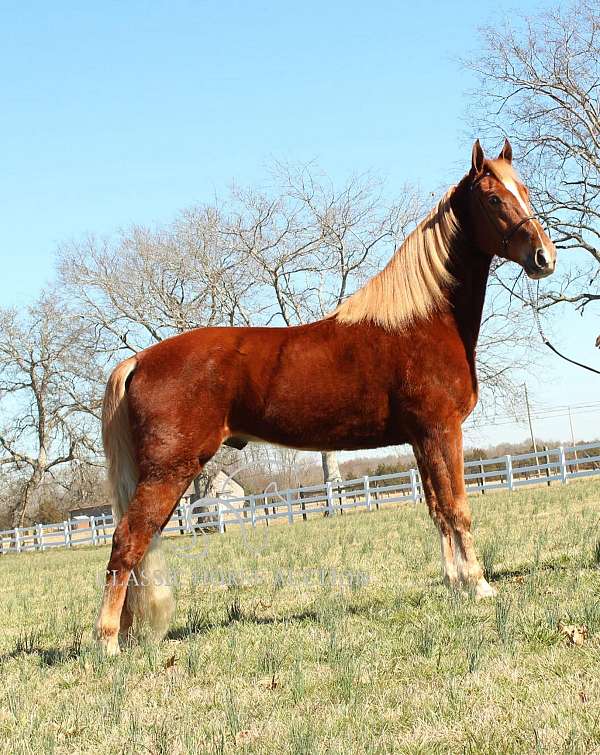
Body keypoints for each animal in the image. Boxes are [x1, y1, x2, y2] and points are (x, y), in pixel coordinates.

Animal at [96, 140, 556, 656]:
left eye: (525, 191)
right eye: (494, 199)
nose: (544, 257)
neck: (421, 319)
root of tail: (138, 360)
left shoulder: (422, 438)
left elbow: (438, 510)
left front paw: (456, 584)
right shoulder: (442, 429)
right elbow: (459, 508)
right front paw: (478, 585)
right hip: (168, 470)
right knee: (127, 542)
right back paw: (109, 644)